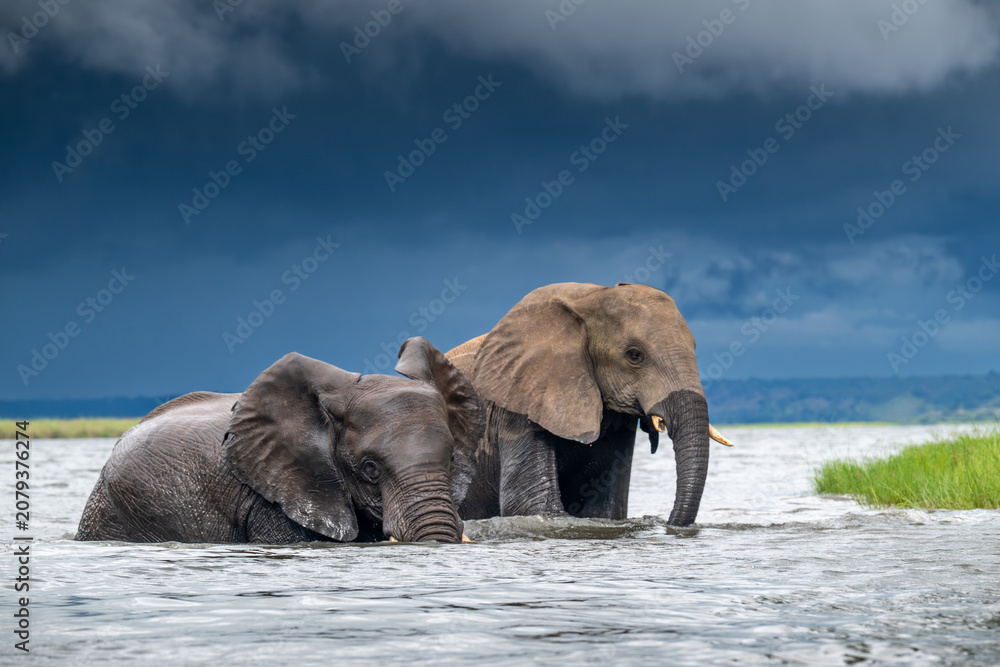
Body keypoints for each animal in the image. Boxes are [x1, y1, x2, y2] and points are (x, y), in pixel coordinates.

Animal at [446, 282, 732, 527]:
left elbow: (604, 507)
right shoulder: (519, 398)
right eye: (634, 355)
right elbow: (530, 505)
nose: (668, 523)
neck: (591, 298)